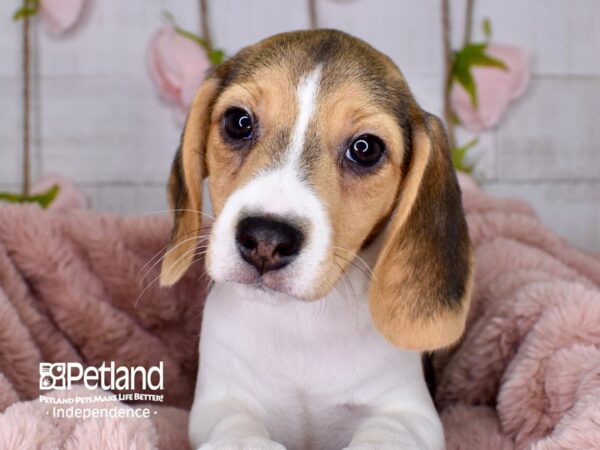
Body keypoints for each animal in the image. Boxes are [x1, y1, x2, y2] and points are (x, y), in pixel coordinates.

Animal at [159, 29, 474, 450]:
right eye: (238, 122)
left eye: (366, 148)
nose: (266, 238)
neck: (302, 323)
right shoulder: (219, 401)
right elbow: (235, 425)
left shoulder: (411, 412)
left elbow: (386, 433)